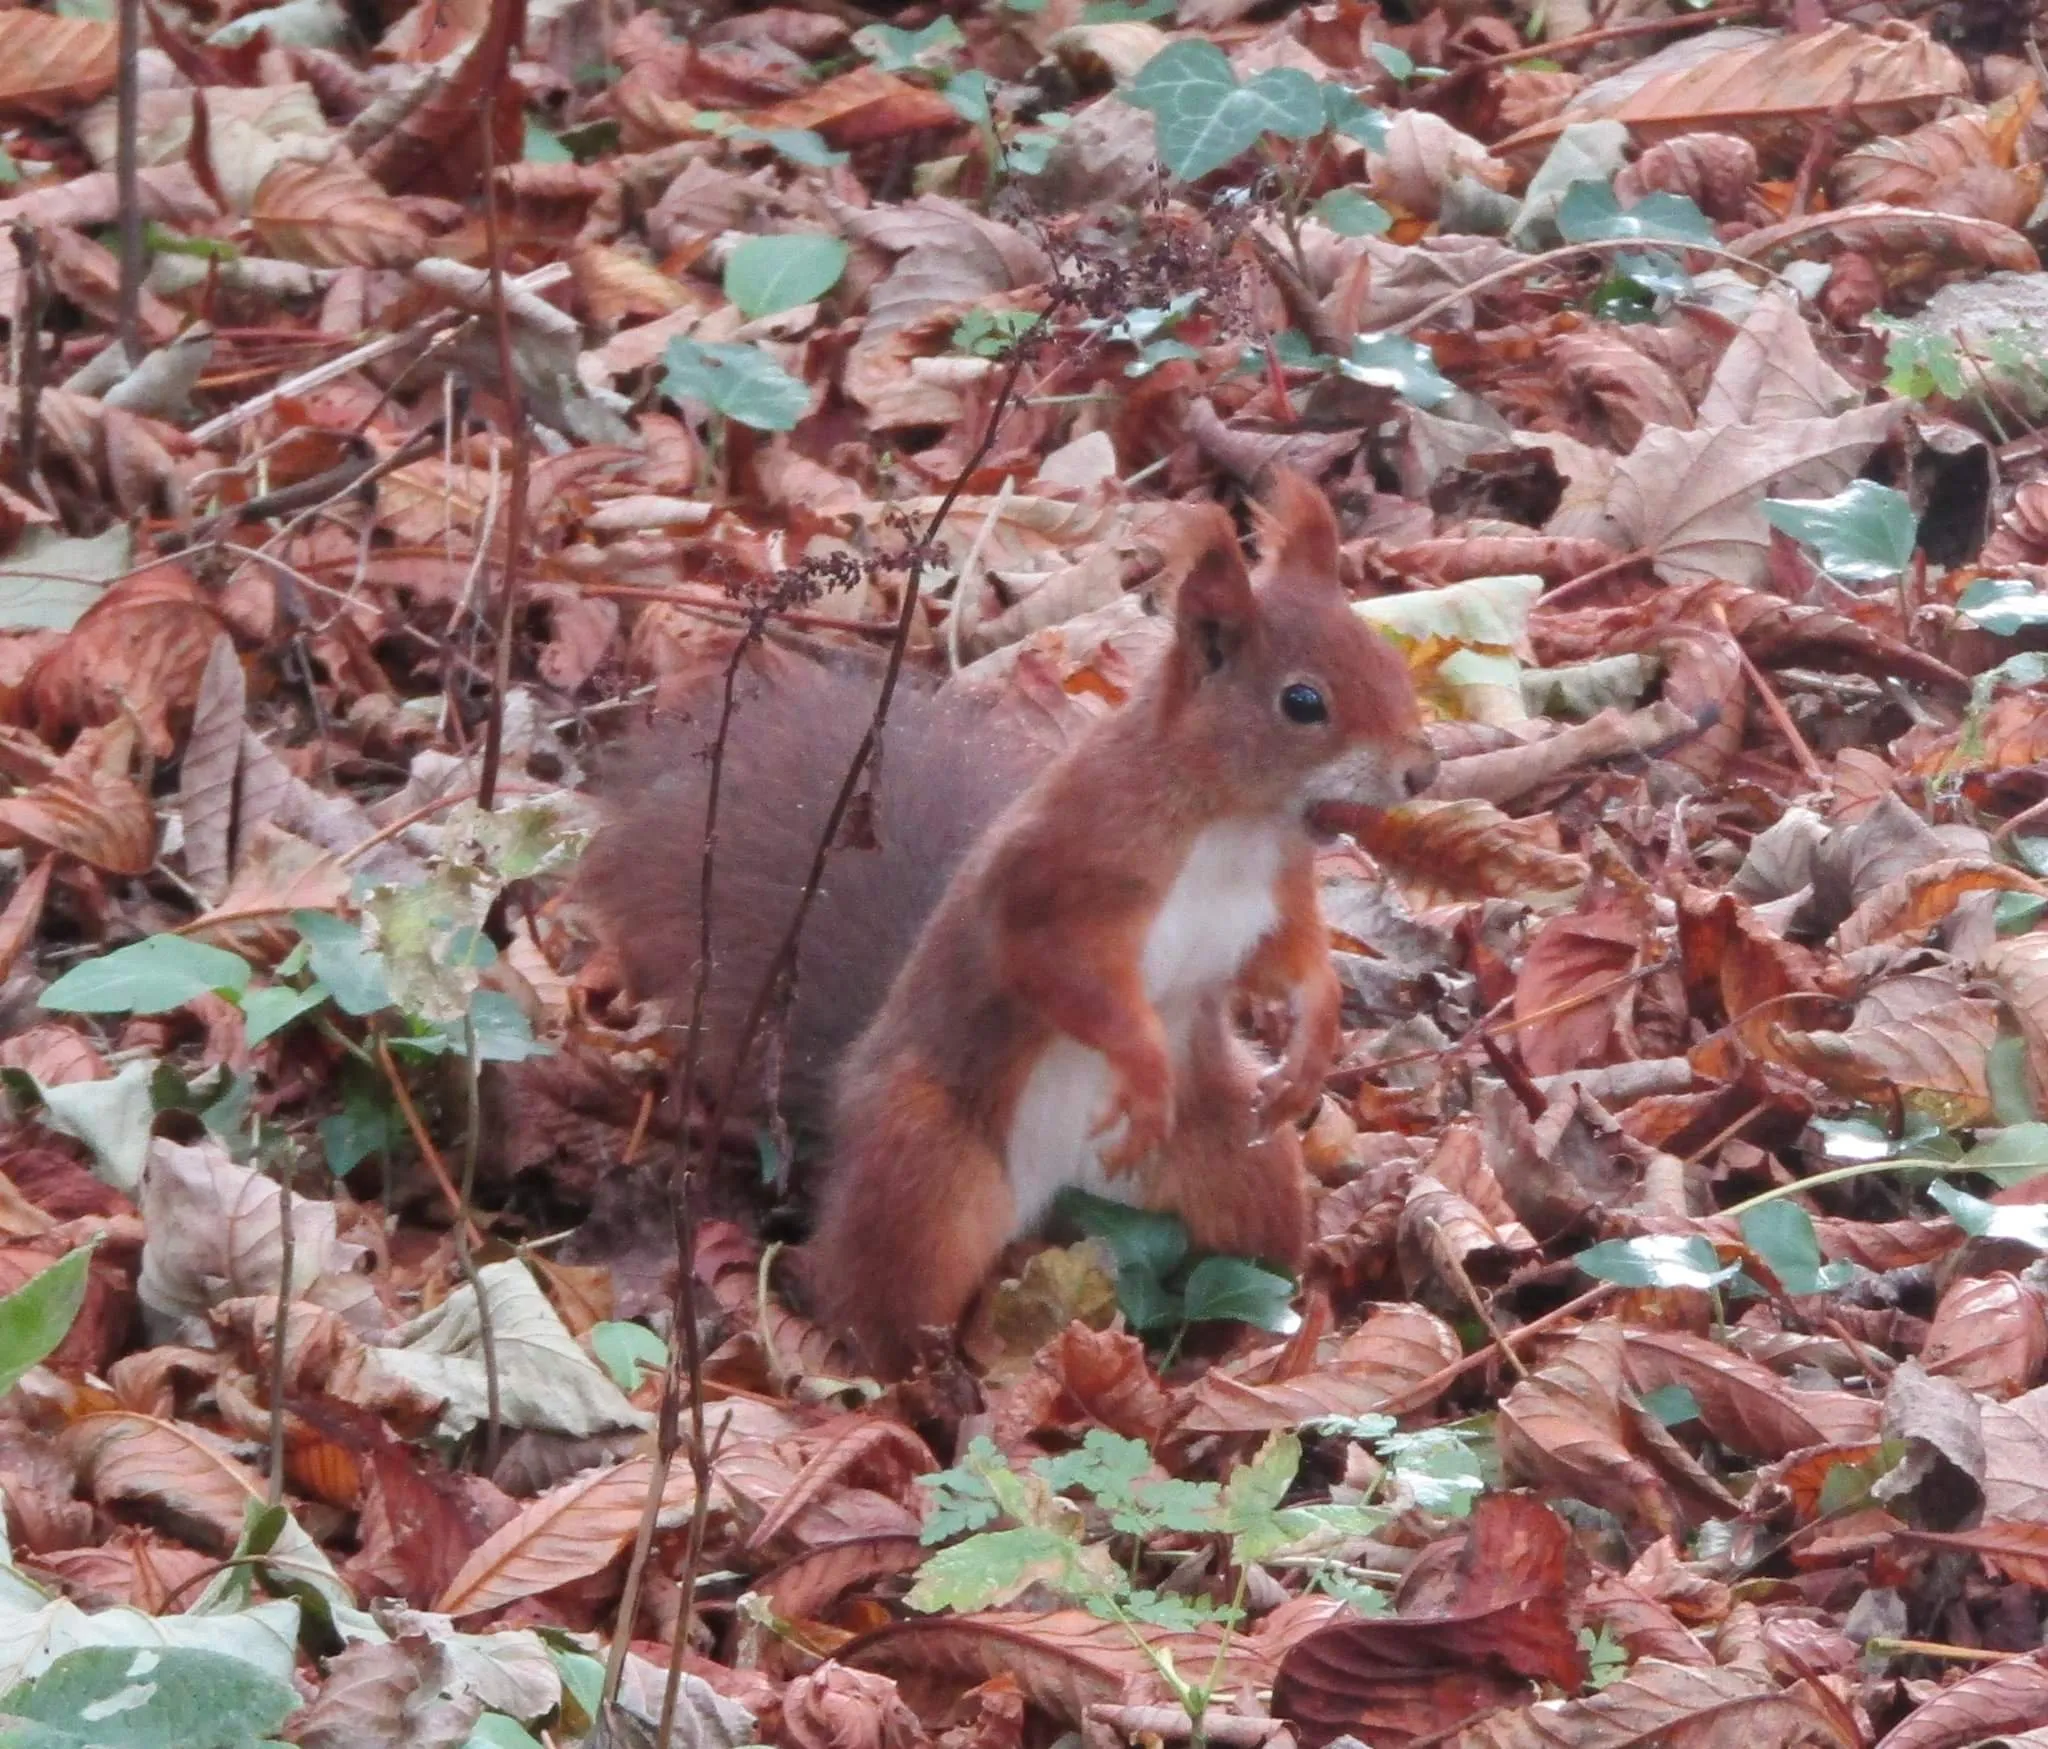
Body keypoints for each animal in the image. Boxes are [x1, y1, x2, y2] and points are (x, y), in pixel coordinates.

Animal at [579, 472, 1436, 1377]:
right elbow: (1056, 972)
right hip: (928, 1177)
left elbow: (1295, 961)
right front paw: (1143, 1068)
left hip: (1238, 1161)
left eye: (1387, 656)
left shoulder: (1271, 894)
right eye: (1302, 701)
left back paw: (1249, 1342)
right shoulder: (1057, 876)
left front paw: (1314, 1041)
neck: (1230, 820)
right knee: (871, 1295)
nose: (1422, 769)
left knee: (1251, 1256)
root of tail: (1066, 1198)